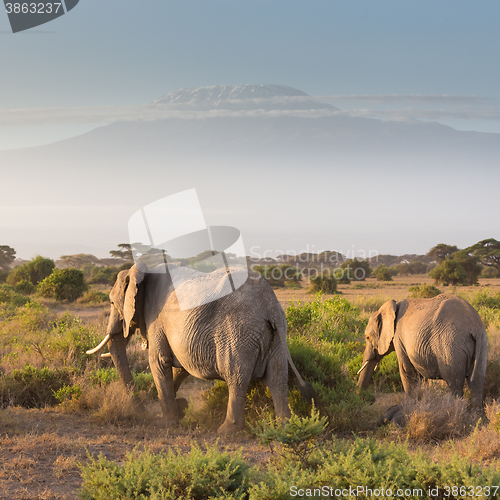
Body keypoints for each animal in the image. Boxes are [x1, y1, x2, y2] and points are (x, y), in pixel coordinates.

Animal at [87, 262, 314, 434]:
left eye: (111, 302)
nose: (141, 410)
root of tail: (271, 304)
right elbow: (180, 367)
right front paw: (178, 407)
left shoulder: (155, 319)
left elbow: (159, 361)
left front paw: (167, 422)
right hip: (275, 336)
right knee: (277, 376)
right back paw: (285, 428)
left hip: (238, 331)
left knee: (236, 376)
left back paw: (227, 432)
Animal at [358, 294, 486, 408]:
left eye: (367, 337)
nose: (370, 400)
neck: (393, 307)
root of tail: (474, 327)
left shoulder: (399, 338)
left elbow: (407, 370)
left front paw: (411, 408)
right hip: (481, 343)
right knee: (476, 382)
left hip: (450, 346)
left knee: (455, 383)